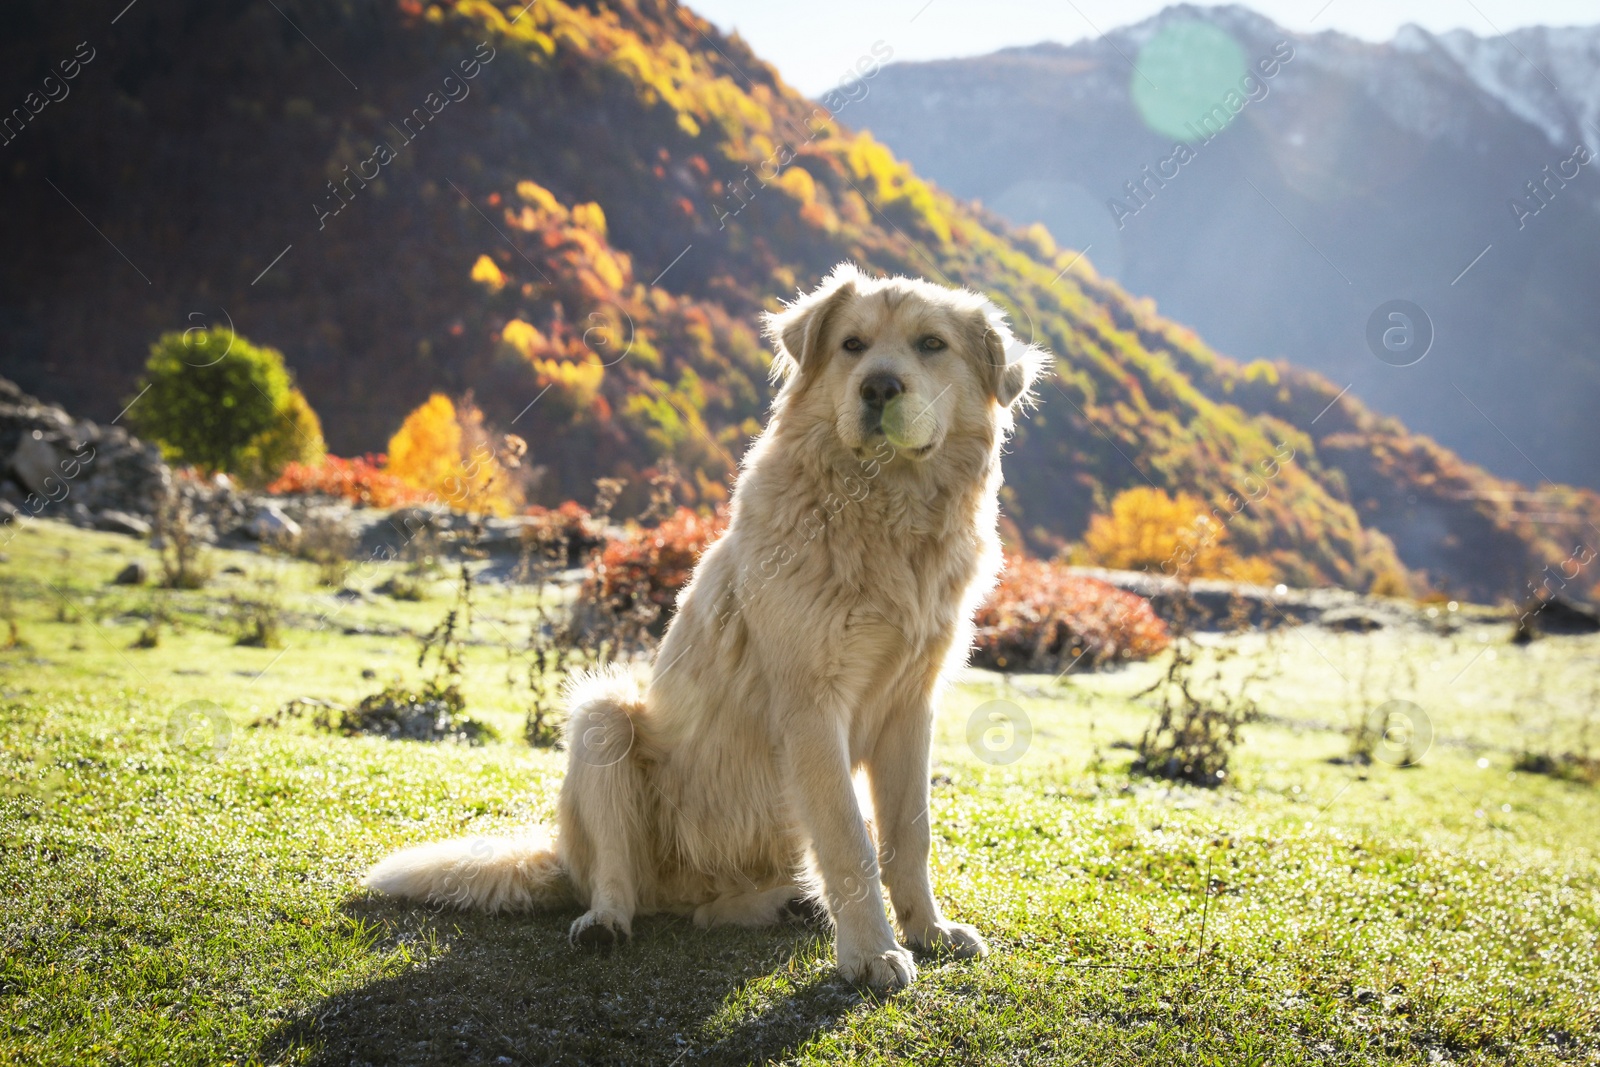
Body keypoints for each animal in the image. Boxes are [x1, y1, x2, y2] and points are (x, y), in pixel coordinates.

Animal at [366, 262, 1049, 991]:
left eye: (930, 345)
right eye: (853, 345)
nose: (879, 387)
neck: (886, 511)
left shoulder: (910, 708)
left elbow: (908, 836)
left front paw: (928, 929)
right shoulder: (812, 707)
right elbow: (850, 842)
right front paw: (871, 953)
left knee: (709, 911)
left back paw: (788, 904)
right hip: (606, 715)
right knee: (621, 878)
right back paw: (605, 922)